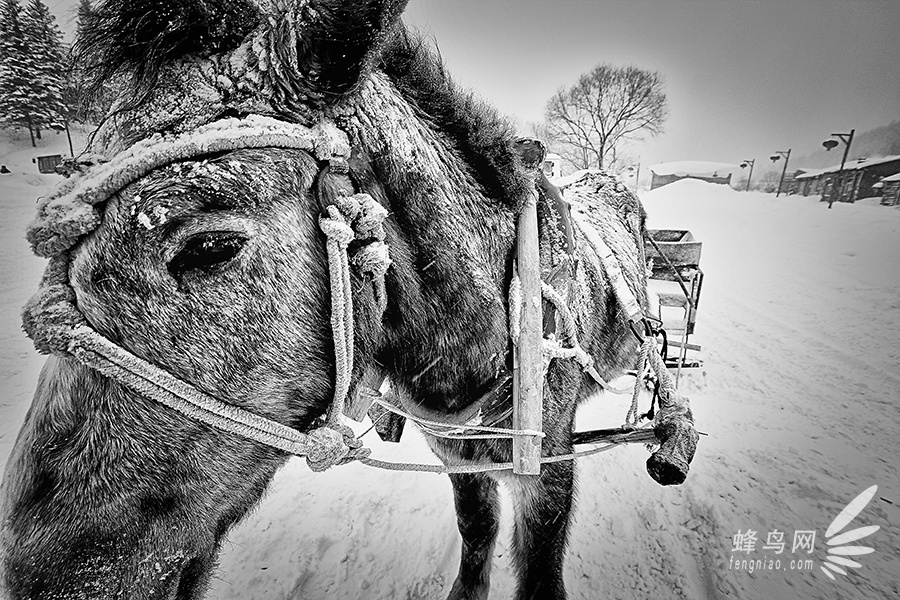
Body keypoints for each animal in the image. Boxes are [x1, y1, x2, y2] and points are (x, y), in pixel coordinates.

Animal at [0, 1, 696, 600]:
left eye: (210, 246)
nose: (41, 579)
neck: (499, 324)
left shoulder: (550, 471)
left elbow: (540, 571)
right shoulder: (457, 458)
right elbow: (476, 531)